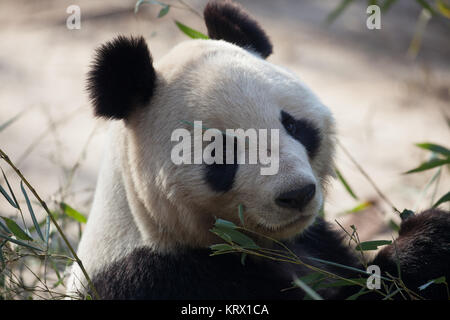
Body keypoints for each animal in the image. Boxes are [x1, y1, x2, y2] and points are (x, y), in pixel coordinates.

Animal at [67, 0, 450, 300]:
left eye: (294, 126)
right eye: (220, 152)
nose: (297, 194)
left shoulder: (317, 241)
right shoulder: (161, 277)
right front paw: (420, 245)